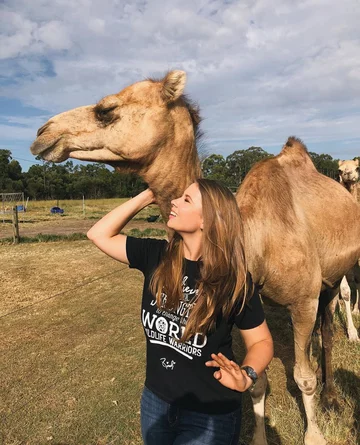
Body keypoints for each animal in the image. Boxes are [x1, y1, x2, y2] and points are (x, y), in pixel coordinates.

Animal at [29, 71, 360, 442]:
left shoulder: (303, 299)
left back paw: (332, 393)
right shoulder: (249, 303)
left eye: (106, 109)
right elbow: (255, 381)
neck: (255, 241)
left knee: (328, 331)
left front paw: (314, 435)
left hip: (331, 277)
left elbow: (304, 377)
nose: (43, 134)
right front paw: (259, 436)